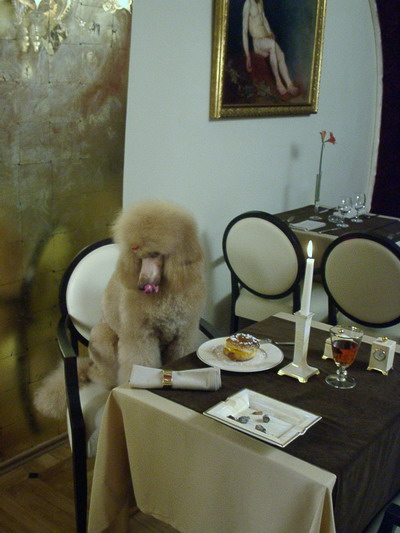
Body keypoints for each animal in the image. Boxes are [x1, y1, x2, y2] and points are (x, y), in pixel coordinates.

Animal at [34, 200, 206, 419]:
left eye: (155, 253)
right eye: (136, 255)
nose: (141, 286)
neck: (166, 293)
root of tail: (90, 364)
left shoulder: (184, 334)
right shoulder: (140, 337)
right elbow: (142, 362)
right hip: (104, 340)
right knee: (101, 376)